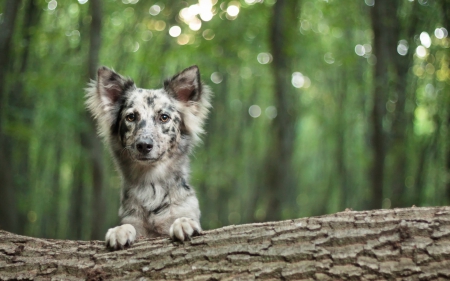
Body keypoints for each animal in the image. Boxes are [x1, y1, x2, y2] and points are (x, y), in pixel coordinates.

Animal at [85, 65, 211, 249]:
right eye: (131, 117)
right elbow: (129, 225)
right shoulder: (134, 222)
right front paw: (119, 231)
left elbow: (183, 218)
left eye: (164, 117)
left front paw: (184, 223)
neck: (151, 186)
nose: (144, 145)